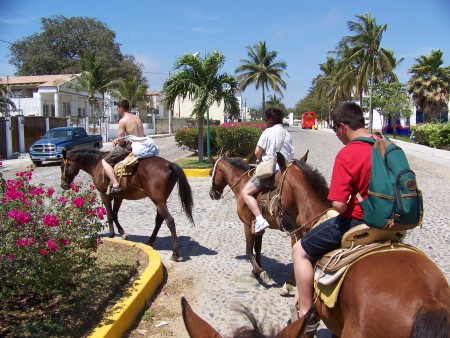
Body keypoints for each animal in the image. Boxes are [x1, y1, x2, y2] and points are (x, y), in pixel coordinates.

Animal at [59, 149, 193, 260]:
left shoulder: (104, 195)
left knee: (169, 221)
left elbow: (110, 215)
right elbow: (115, 214)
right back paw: (150, 241)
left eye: (62, 166)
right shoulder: (119, 197)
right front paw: (122, 233)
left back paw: (175, 253)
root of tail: (168, 164)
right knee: (159, 220)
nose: (63, 185)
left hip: (158, 201)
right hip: (161, 201)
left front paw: (112, 234)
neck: (97, 163)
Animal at [208, 154, 310, 296]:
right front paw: (257, 269)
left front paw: (260, 272)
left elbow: (249, 250)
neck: (243, 184)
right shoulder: (258, 229)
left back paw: (288, 285)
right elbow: (257, 249)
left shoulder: (247, 224)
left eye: (210, 172)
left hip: (296, 232)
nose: (211, 194)